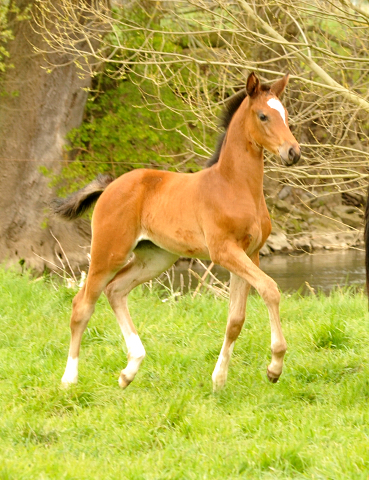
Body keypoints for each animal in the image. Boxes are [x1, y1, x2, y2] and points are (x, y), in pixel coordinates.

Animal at [56, 73, 300, 392]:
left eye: (286, 115)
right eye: (263, 116)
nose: (293, 152)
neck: (235, 186)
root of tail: (110, 186)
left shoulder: (250, 254)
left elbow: (236, 318)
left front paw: (219, 379)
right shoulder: (224, 251)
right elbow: (270, 289)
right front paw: (274, 366)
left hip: (156, 258)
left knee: (116, 290)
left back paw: (129, 370)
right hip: (108, 252)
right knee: (82, 305)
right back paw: (69, 378)